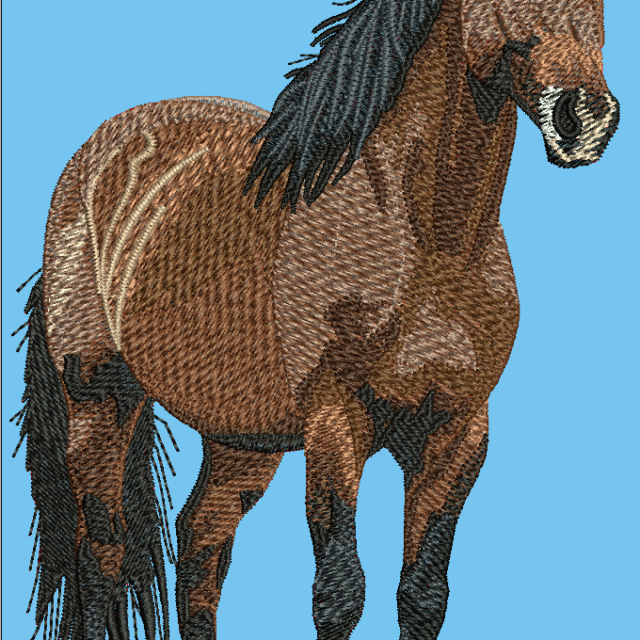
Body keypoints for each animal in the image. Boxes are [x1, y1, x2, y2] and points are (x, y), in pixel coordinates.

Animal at [11, 0, 619, 638]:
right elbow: (340, 591)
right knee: (101, 555)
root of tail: (95, 159)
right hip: (100, 397)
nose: (585, 118)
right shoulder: (336, 421)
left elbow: (423, 594)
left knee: (200, 544)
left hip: (241, 436)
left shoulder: (457, 430)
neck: (430, 243)